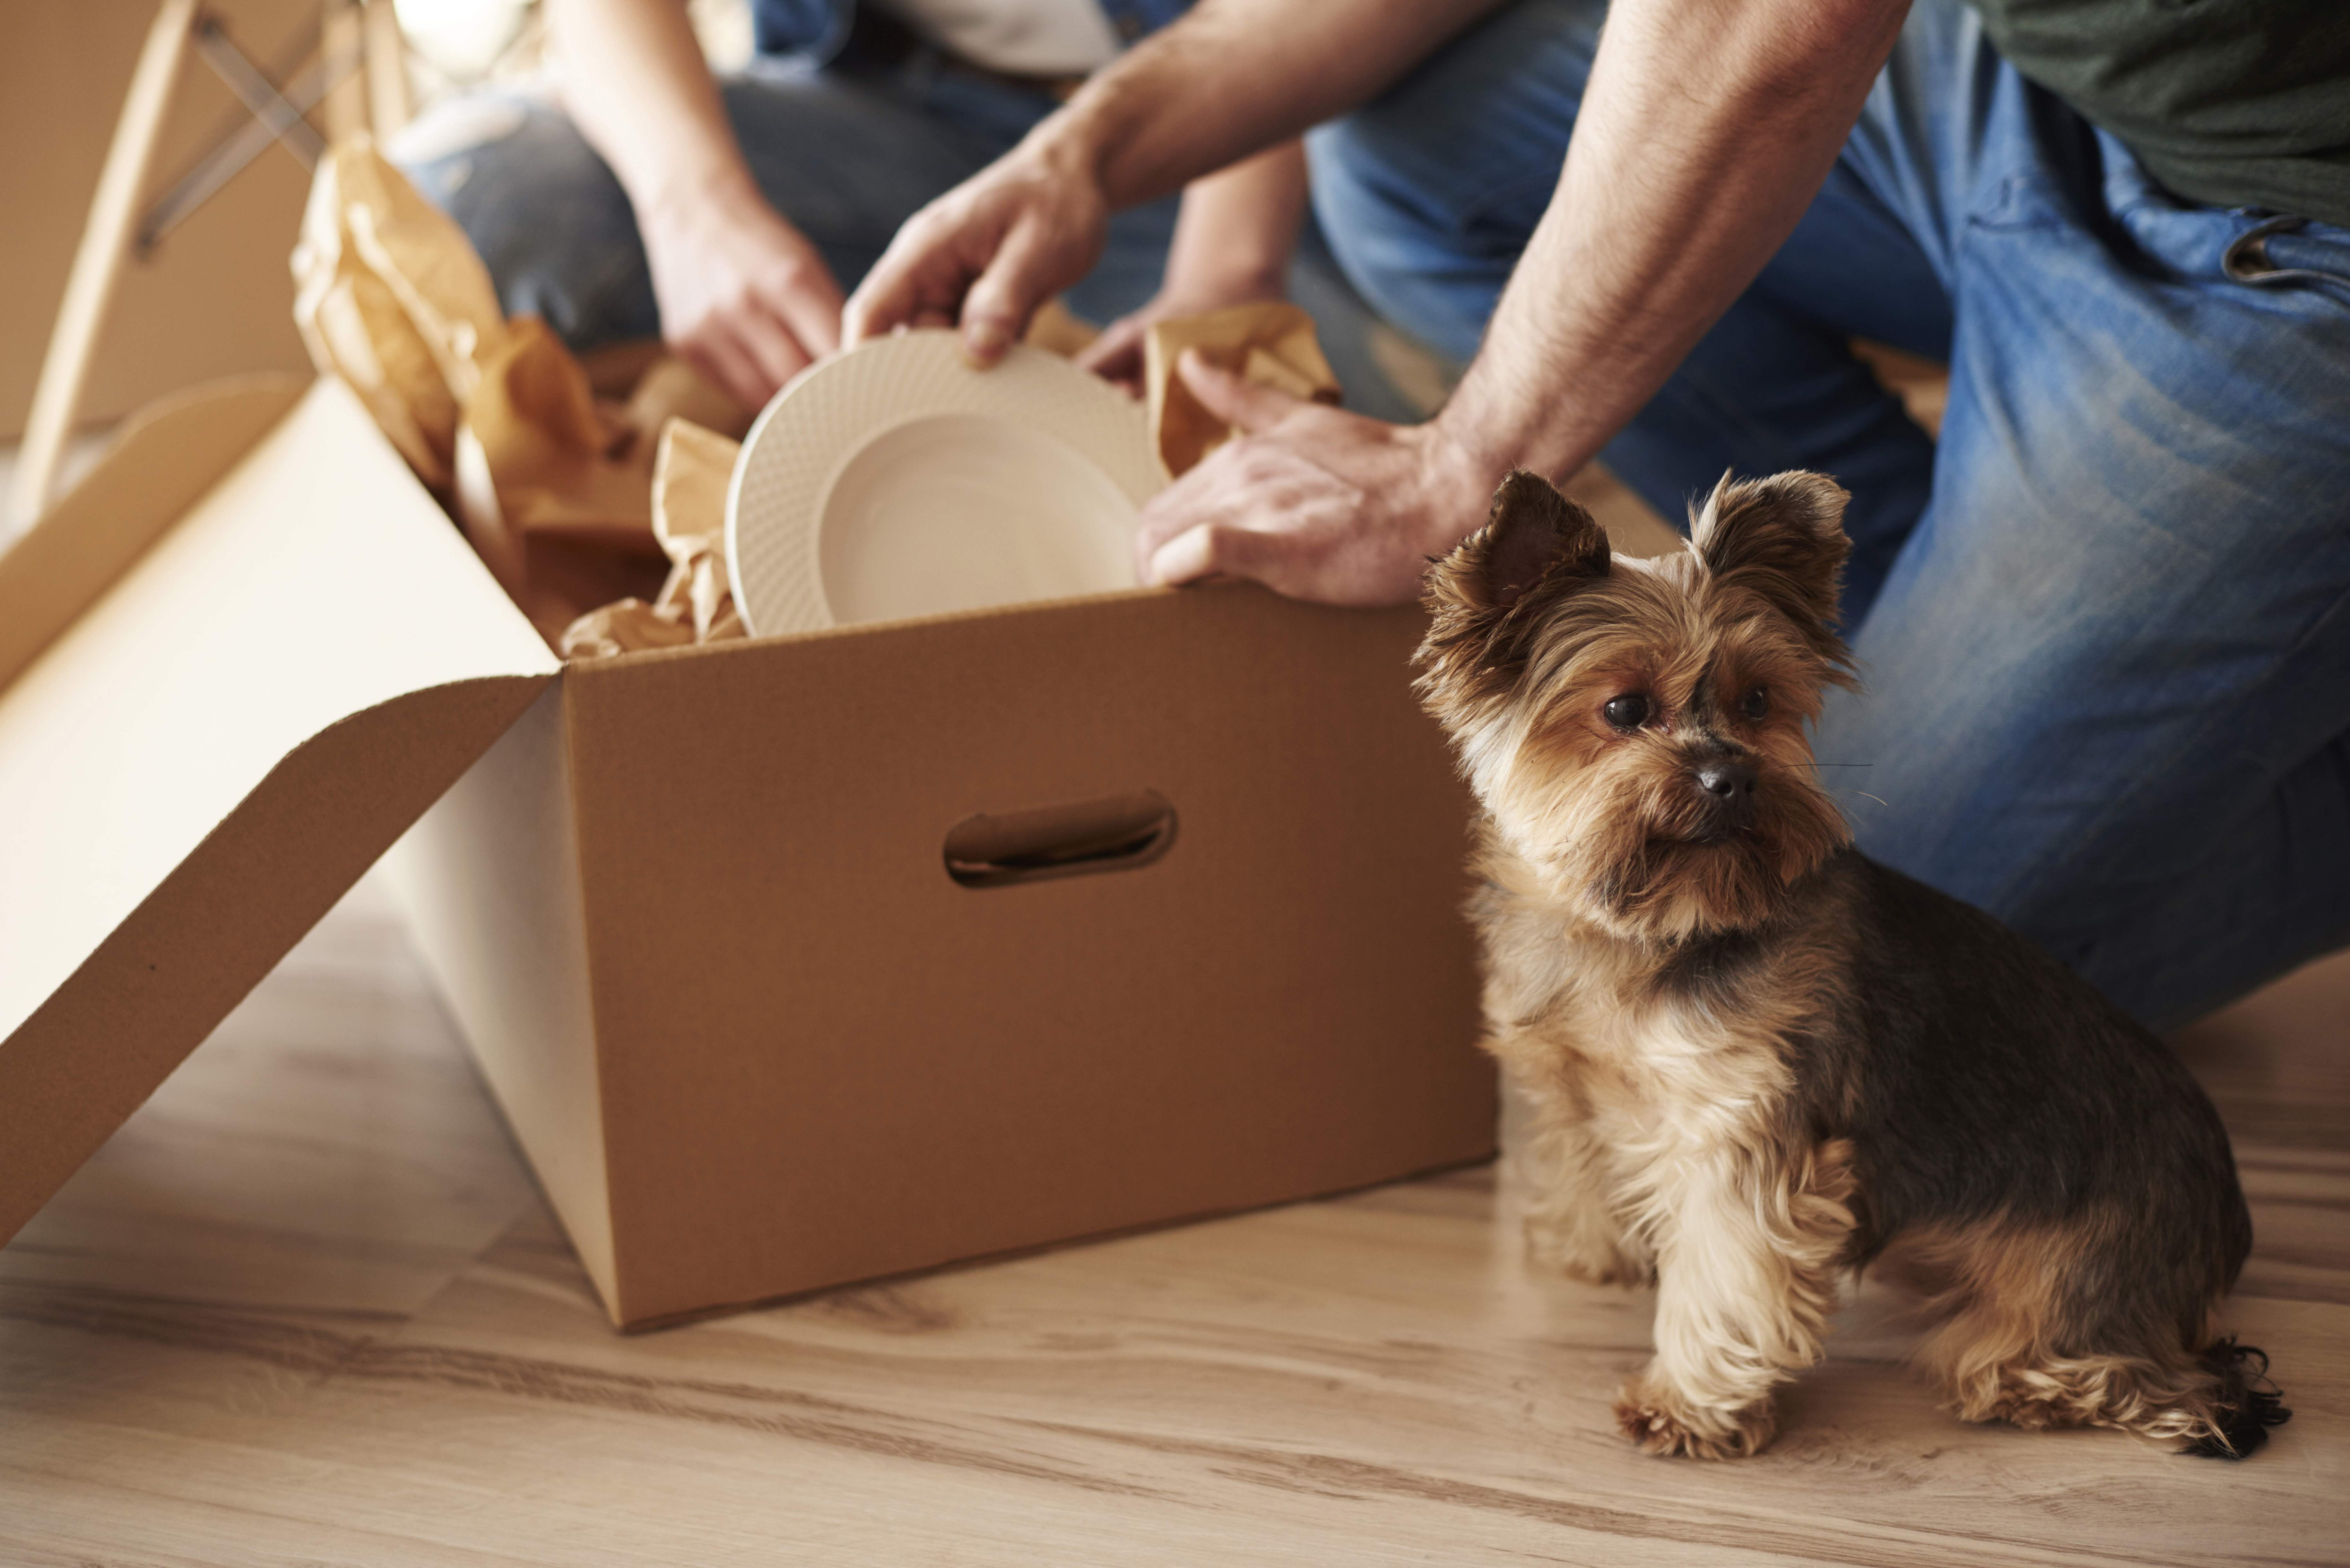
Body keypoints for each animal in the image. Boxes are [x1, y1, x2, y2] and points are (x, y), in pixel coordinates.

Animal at [1419, 465, 2284, 1457]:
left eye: (1757, 701)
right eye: (1625, 708)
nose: (1733, 776)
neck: (1652, 925)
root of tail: (2225, 1218)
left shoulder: (1744, 1125)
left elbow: (1726, 1270)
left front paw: (1687, 1403)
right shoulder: (1578, 1080)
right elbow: (1585, 1154)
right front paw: (1592, 1247)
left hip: (2078, 1273)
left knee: (2129, 1376)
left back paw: (2032, 1382)